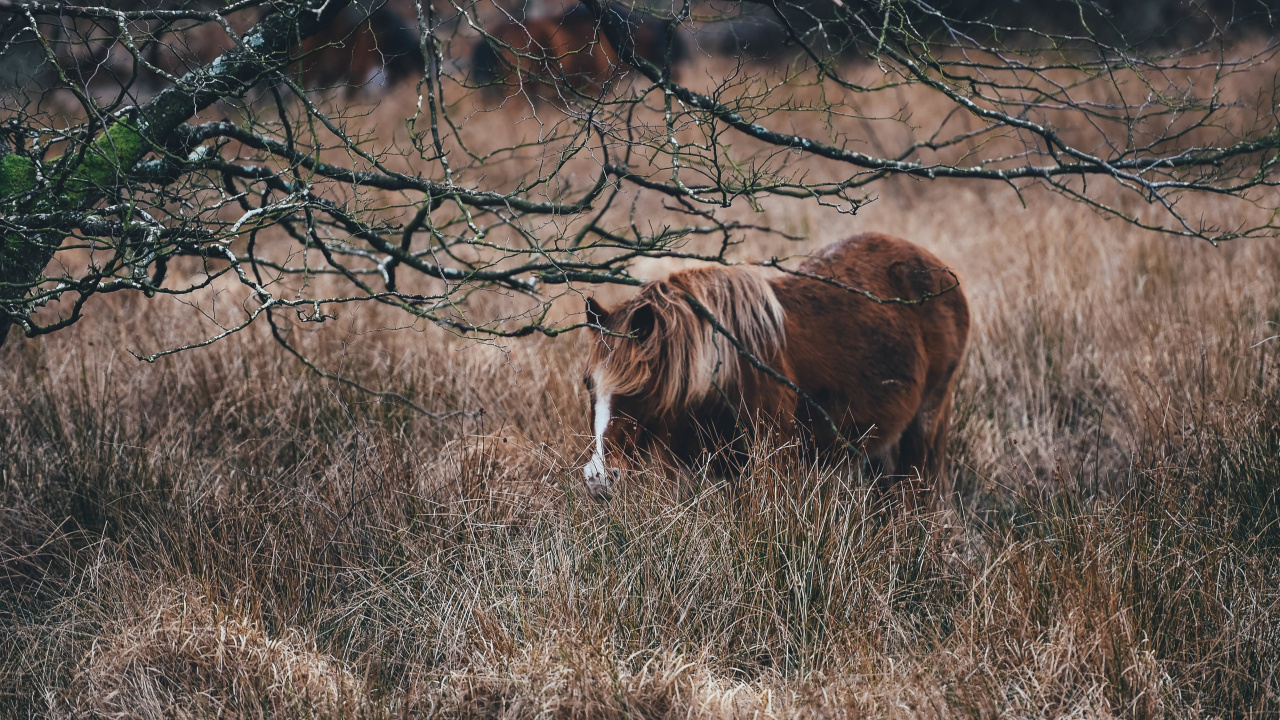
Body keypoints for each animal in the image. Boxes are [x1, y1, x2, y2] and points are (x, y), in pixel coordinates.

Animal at [580, 233, 971, 501]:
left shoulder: (770, 465)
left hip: (926, 420)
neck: (724, 372)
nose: (599, 477)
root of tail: (942, 273)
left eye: (639, 389)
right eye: (587, 385)